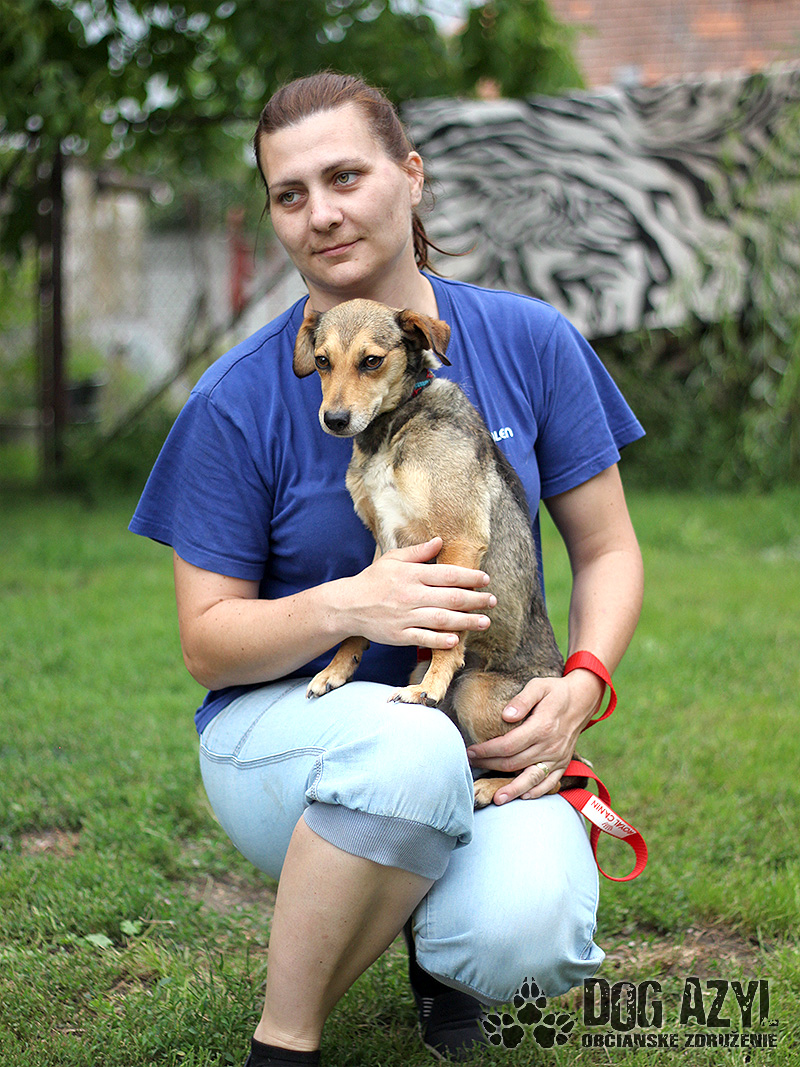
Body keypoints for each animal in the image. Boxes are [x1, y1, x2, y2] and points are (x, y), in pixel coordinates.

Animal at [294, 298, 578, 808]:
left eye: (371, 361)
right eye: (322, 361)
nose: (335, 420)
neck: (392, 429)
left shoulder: (460, 537)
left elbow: (449, 637)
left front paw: (429, 689)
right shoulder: (385, 549)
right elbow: (357, 619)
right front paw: (336, 671)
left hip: (478, 694)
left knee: (550, 773)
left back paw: (491, 784)